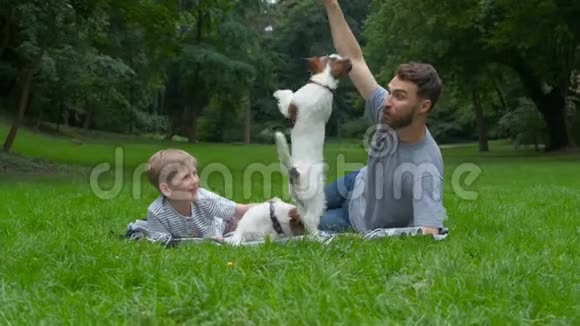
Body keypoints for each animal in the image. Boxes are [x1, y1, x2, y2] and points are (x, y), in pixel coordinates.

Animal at [274, 54, 352, 234]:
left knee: (310, 220)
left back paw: (318, 235)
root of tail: (294, 171)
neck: (322, 83)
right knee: (304, 217)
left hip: (316, 198)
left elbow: (287, 95)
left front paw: (278, 92)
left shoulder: (290, 106)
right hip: (300, 201)